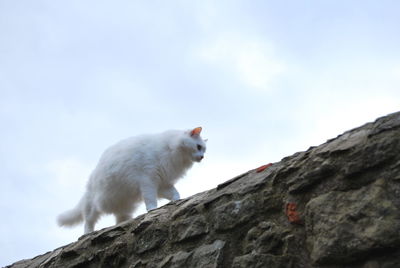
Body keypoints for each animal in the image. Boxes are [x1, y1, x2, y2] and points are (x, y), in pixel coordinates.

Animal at [57, 126, 206, 233]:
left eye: (204, 150)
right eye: (198, 147)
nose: (202, 157)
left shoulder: (163, 184)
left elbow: (175, 193)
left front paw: (177, 201)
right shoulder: (148, 180)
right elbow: (151, 200)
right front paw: (152, 210)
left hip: (123, 208)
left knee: (119, 219)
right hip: (94, 205)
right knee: (88, 221)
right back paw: (87, 233)